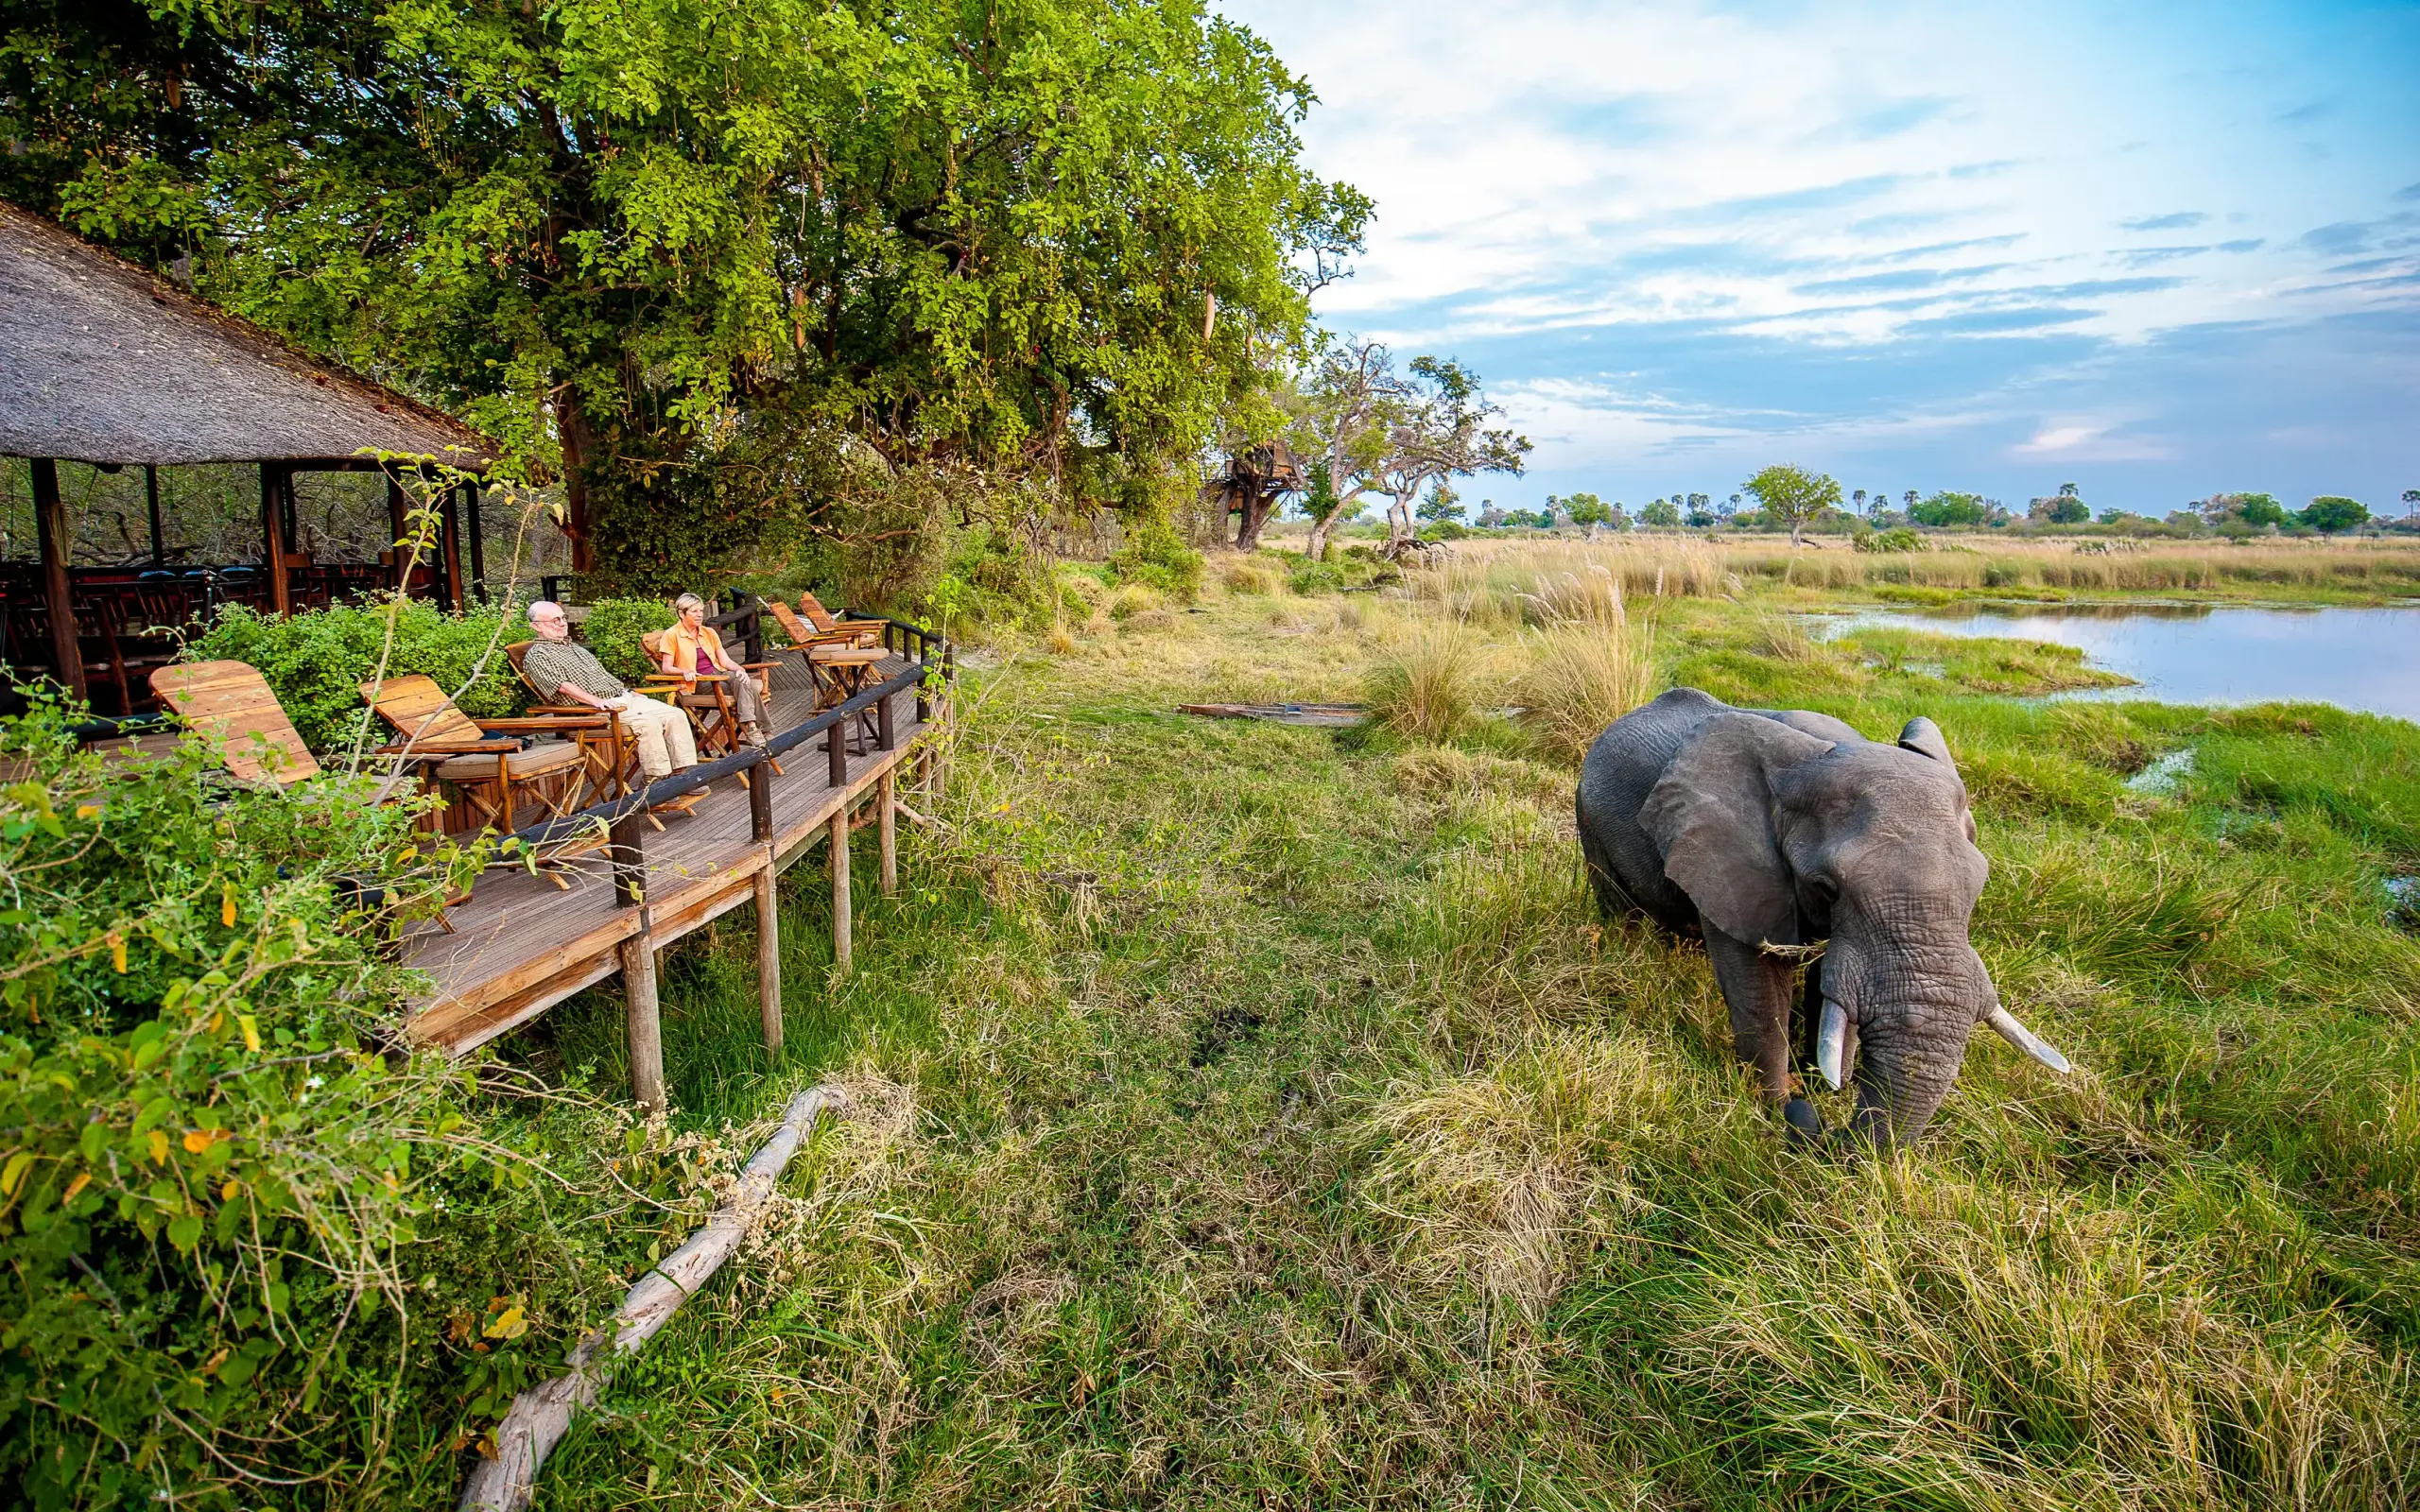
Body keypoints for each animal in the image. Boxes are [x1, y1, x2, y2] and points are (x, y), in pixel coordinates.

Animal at [1575, 687, 2069, 1150]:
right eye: (1826, 886)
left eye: (1980, 884)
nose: (1818, 1122)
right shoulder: (1728, 858)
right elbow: (1759, 985)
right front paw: (1776, 1108)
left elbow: (1831, 987)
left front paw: (1823, 1085)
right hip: (1589, 818)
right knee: (1619, 907)